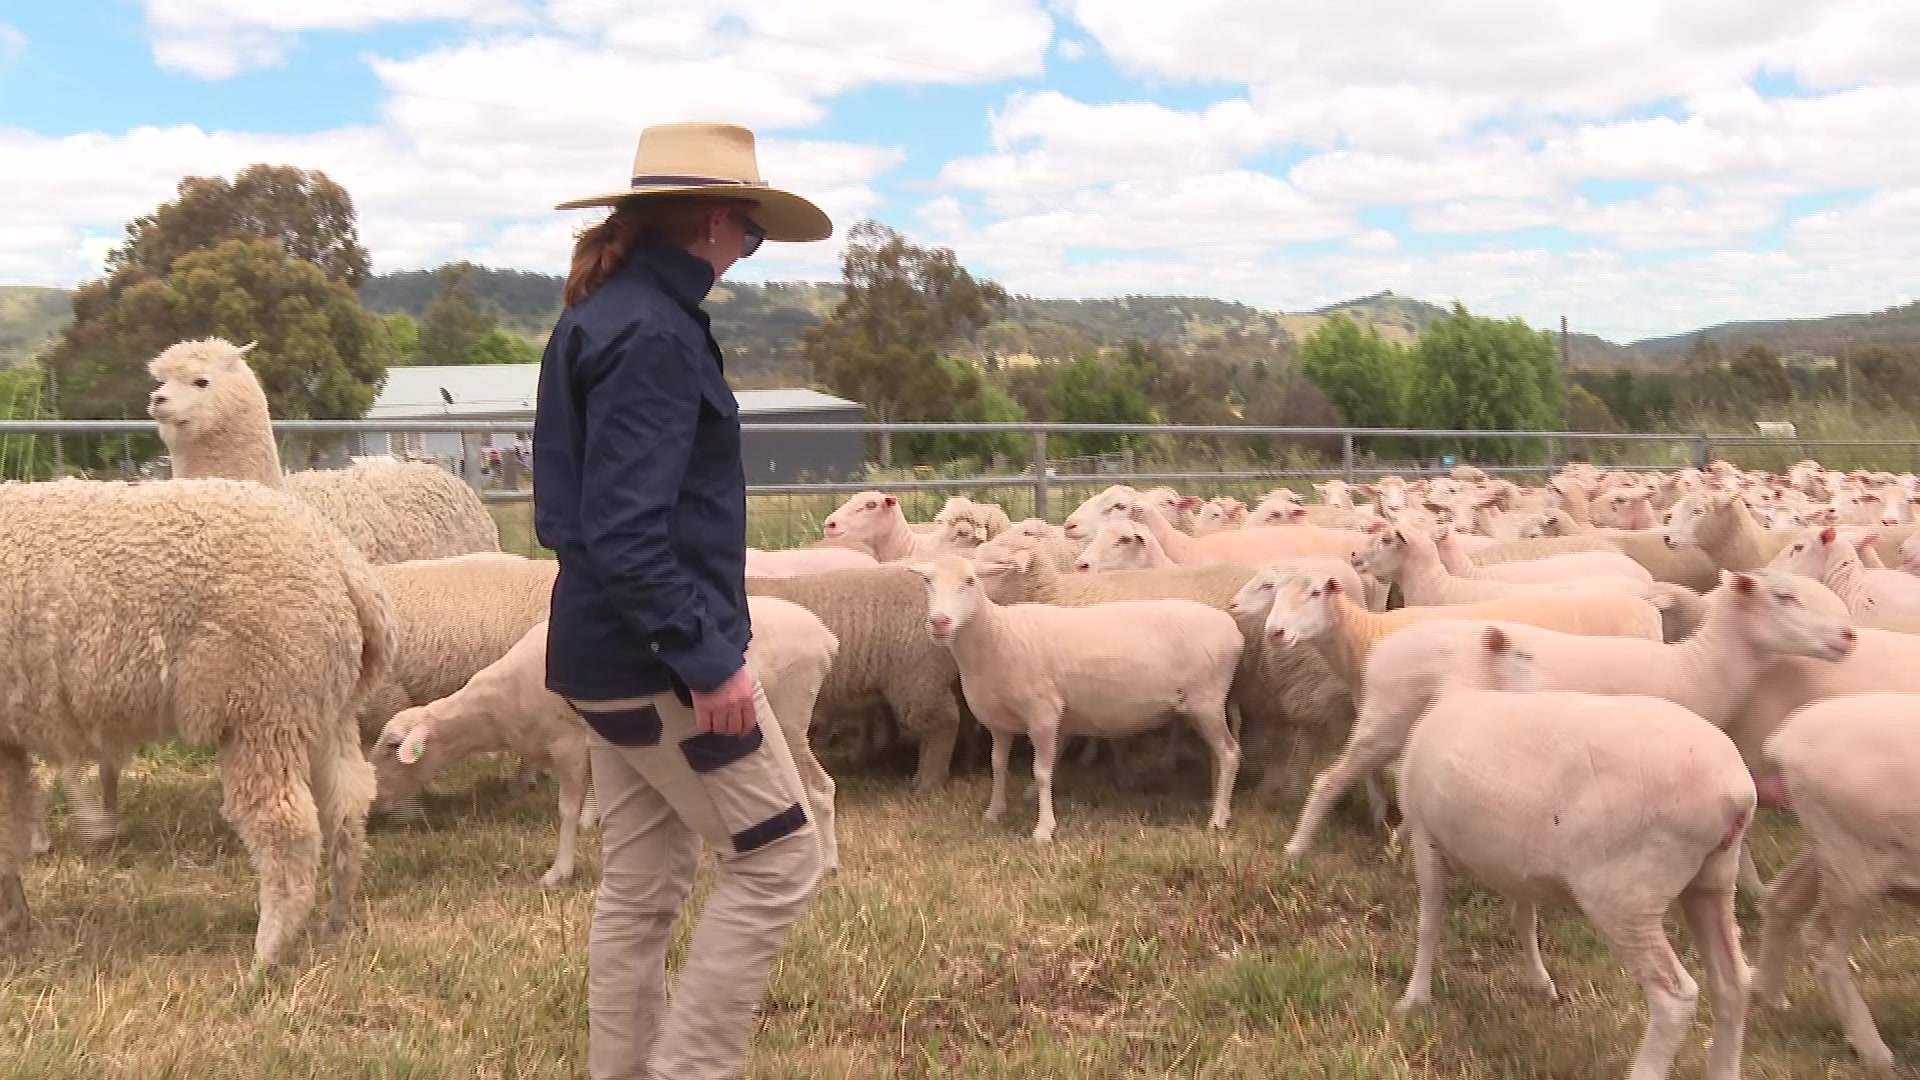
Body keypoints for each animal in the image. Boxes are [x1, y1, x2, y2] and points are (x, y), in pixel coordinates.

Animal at [0, 474, 393, 972]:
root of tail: (345, 566)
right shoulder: (7, 737)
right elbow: (8, 828)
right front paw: (15, 919)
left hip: (263, 704)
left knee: (288, 829)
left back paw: (265, 959)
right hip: (323, 708)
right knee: (346, 811)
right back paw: (336, 921)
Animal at [902, 553, 1236, 841]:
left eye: (970, 580)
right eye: (928, 582)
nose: (939, 622)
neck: (998, 635)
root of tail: (1231, 627)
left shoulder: (1044, 715)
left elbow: (1041, 772)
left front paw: (1043, 830)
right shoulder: (998, 722)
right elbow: (998, 765)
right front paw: (994, 813)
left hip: (1207, 702)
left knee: (1230, 754)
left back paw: (1217, 819)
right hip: (1203, 706)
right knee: (1218, 754)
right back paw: (1217, 805)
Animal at [1397, 622, 1758, 1076]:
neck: (1468, 682)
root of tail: (1736, 793)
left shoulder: (1424, 835)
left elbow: (1429, 920)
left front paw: (1415, 997)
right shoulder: (1517, 861)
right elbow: (1524, 919)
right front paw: (1538, 981)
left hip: (1626, 895)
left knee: (1674, 997)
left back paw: (1644, 1069)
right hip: (1712, 881)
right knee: (1733, 982)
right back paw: (1724, 1067)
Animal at [1758, 691, 1920, 1068]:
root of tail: (1785, 740)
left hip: (1825, 850)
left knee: (1780, 900)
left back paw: (1769, 998)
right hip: (1852, 865)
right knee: (1824, 944)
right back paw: (1875, 1053)